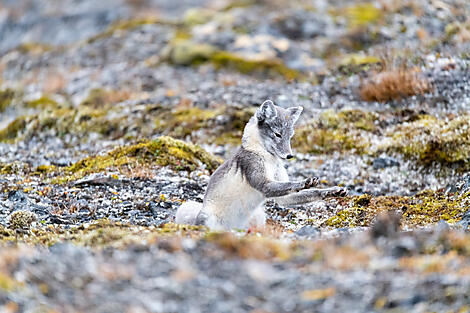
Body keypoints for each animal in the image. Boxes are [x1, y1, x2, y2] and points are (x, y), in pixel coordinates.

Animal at [174, 100, 346, 229]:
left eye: (290, 136)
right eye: (277, 134)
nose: (290, 156)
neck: (267, 156)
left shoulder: (283, 195)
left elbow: (307, 192)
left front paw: (333, 191)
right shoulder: (262, 181)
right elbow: (290, 184)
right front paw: (304, 182)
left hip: (258, 217)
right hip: (208, 217)